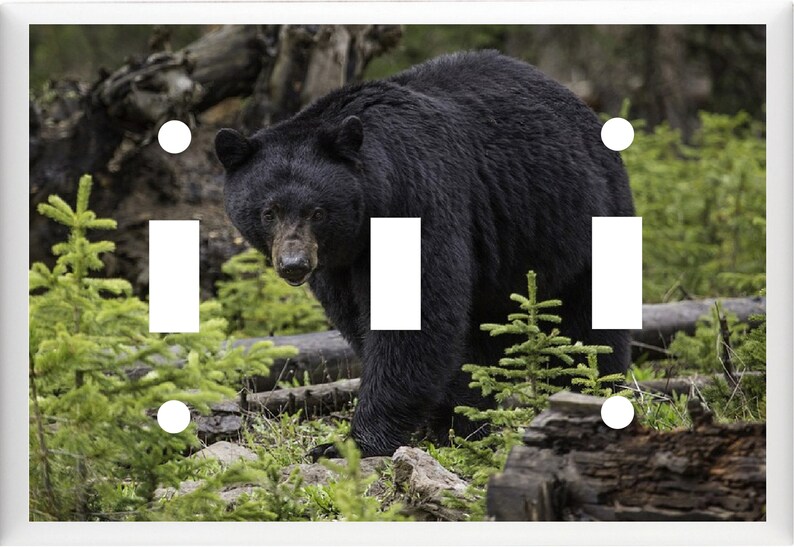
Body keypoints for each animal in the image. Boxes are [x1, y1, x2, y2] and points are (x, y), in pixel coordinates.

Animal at [215, 50, 635, 458]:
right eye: (268, 212)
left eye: (317, 211)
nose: (294, 265)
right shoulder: (338, 262)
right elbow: (361, 317)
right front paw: (455, 422)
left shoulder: (417, 197)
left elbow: (414, 318)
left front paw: (351, 443)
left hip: (583, 221)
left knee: (590, 327)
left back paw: (590, 393)